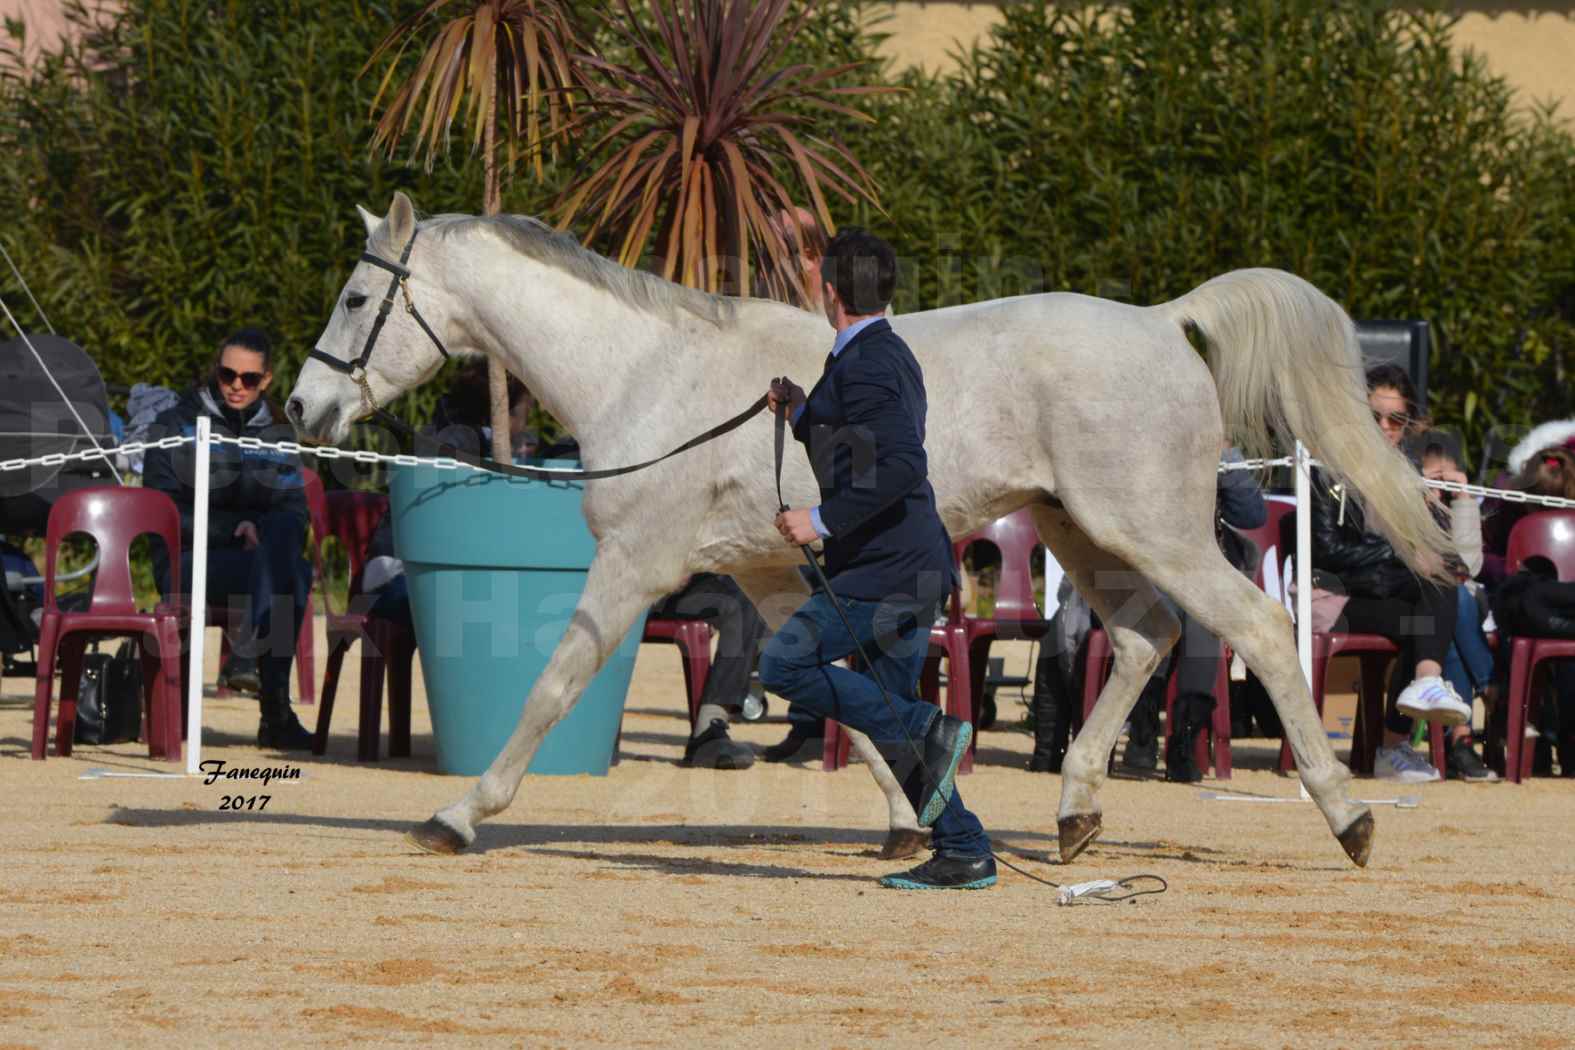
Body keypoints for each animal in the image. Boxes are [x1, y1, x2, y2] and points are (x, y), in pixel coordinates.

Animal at [286, 192, 1449, 868]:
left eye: (354, 301)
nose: (302, 409)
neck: (650, 375)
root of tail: (1166, 321)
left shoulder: (632, 566)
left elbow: (554, 686)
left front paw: (459, 815)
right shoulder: (769, 576)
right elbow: (847, 695)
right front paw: (913, 817)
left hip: (1153, 530)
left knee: (1253, 632)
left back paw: (1347, 819)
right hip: (1082, 531)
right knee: (1145, 638)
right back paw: (1075, 813)